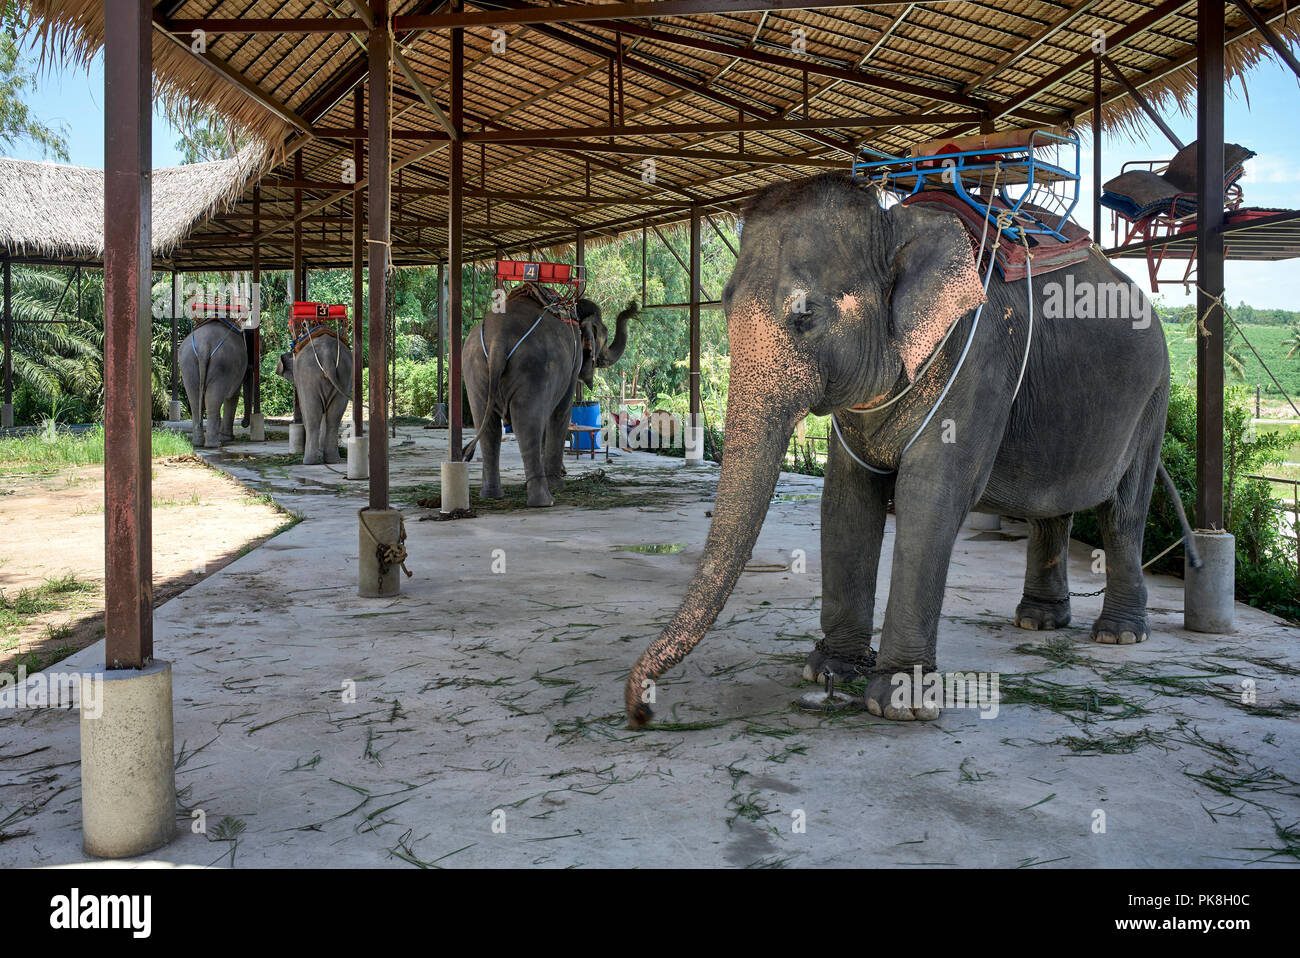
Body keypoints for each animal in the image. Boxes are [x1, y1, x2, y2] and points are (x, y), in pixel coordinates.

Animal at [179, 319, 248, 449]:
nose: (243, 423)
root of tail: (204, 346)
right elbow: (233, 396)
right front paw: (228, 438)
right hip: (222, 365)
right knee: (212, 401)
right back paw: (215, 444)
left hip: (188, 365)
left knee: (195, 401)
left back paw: (198, 443)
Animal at [275, 332, 352, 465]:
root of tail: (327, 354)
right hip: (345, 374)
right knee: (334, 417)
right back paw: (333, 460)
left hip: (308, 376)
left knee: (312, 415)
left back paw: (308, 461)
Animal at [463, 294, 635, 507]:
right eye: (605, 334)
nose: (633, 307)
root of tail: (497, 340)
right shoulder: (572, 364)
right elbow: (561, 412)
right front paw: (558, 482)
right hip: (533, 368)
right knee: (527, 425)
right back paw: (545, 500)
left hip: (475, 370)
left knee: (488, 428)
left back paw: (492, 495)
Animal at [624, 172, 1198, 727]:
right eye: (722, 305)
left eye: (805, 315)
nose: (643, 710)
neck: (893, 224)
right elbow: (847, 495)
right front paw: (829, 671)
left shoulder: (978, 356)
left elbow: (932, 494)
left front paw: (898, 703)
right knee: (1052, 508)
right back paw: (1038, 622)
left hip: (1154, 396)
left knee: (1123, 510)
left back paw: (1118, 635)